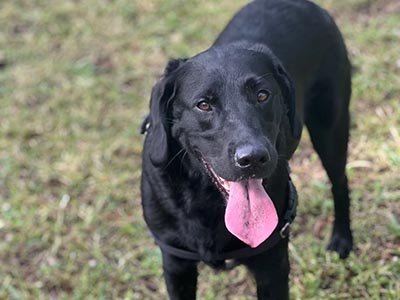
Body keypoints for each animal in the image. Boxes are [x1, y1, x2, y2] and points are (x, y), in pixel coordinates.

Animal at [141, 0, 354, 298]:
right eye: (204, 105)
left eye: (262, 95)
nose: (253, 158)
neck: (208, 200)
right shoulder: (176, 266)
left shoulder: (272, 266)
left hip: (331, 129)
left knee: (340, 182)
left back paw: (342, 240)